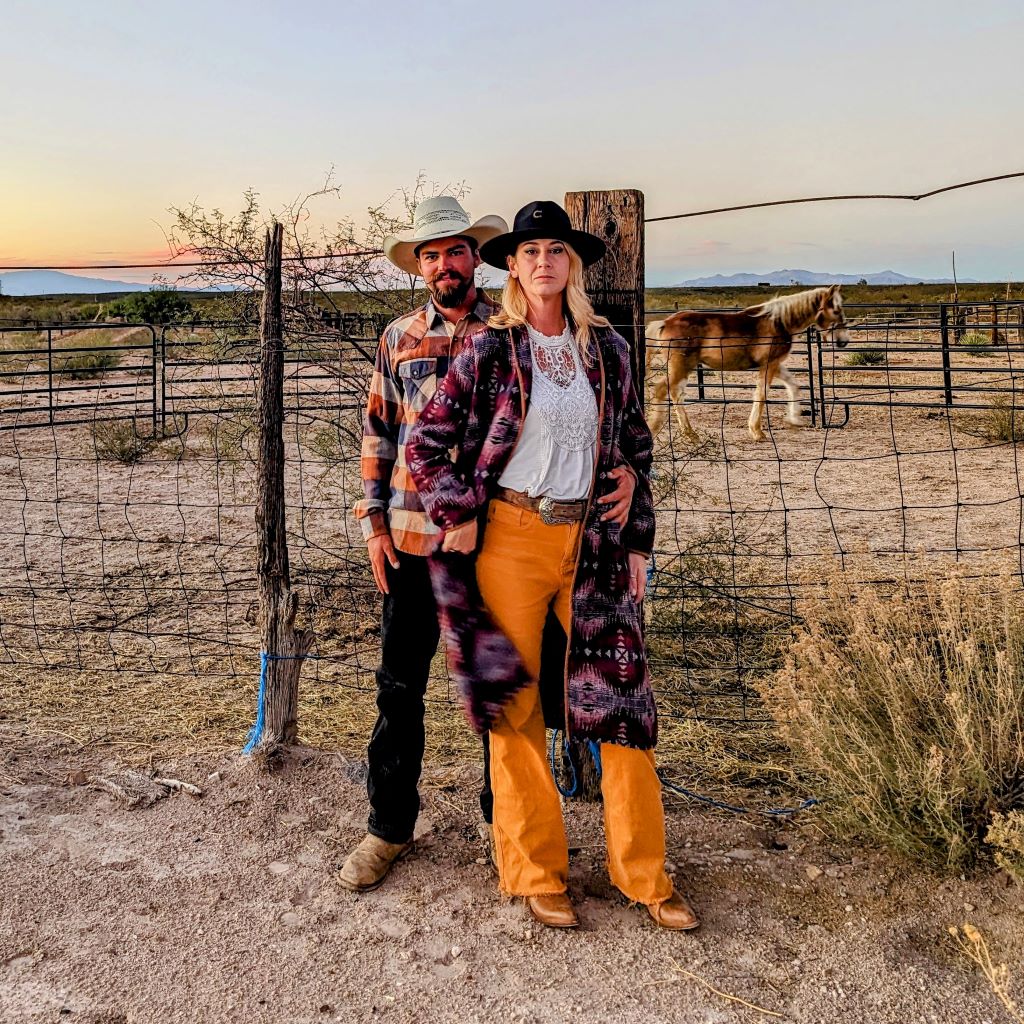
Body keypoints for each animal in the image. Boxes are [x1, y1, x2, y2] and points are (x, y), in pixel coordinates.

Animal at [643, 284, 851, 440]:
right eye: (836, 309)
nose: (843, 341)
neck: (779, 322)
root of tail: (665, 323)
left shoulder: (775, 365)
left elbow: (792, 385)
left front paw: (793, 419)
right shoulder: (769, 364)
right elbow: (762, 394)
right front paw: (758, 432)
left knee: (675, 394)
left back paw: (688, 433)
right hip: (682, 366)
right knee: (662, 390)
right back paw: (661, 429)